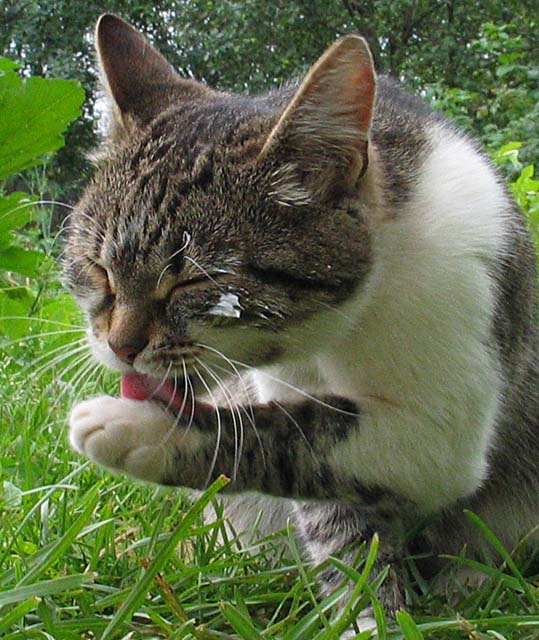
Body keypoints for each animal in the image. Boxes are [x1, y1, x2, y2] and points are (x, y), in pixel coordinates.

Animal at [65, 12, 539, 632]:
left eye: (193, 282)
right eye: (97, 267)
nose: (120, 346)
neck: (350, 323)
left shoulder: (443, 423)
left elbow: (288, 433)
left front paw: (140, 430)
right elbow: (336, 517)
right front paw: (364, 611)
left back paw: (467, 581)